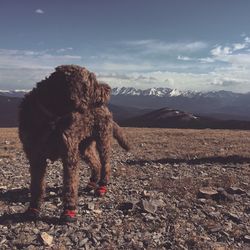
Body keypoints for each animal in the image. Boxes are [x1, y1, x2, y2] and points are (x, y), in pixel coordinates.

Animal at [18, 64, 130, 221]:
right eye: (92, 81)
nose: (108, 88)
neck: (51, 116)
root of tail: (106, 109)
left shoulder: (69, 153)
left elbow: (70, 184)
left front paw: (69, 210)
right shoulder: (35, 156)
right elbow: (36, 185)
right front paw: (33, 208)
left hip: (103, 139)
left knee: (106, 164)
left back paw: (102, 185)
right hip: (84, 146)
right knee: (96, 162)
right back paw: (92, 182)